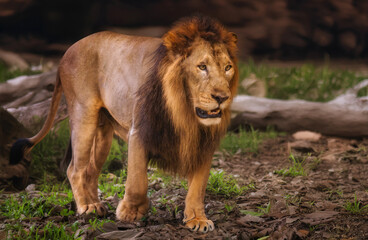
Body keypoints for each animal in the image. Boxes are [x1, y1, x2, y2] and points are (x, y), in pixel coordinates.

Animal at [10, 15, 239, 232]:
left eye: (227, 67)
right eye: (202, 67)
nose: (222, 97)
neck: (185, 112)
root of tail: (68, 51)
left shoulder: (204, 143)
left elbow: (198, 187)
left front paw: (197, 219)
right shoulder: (139, 131)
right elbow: (137, 181)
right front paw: (130, 213)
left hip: (103, 134)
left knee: (90, 171)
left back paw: (96, 204)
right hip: (83, 115)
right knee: (74, 168)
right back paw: (87, 207)